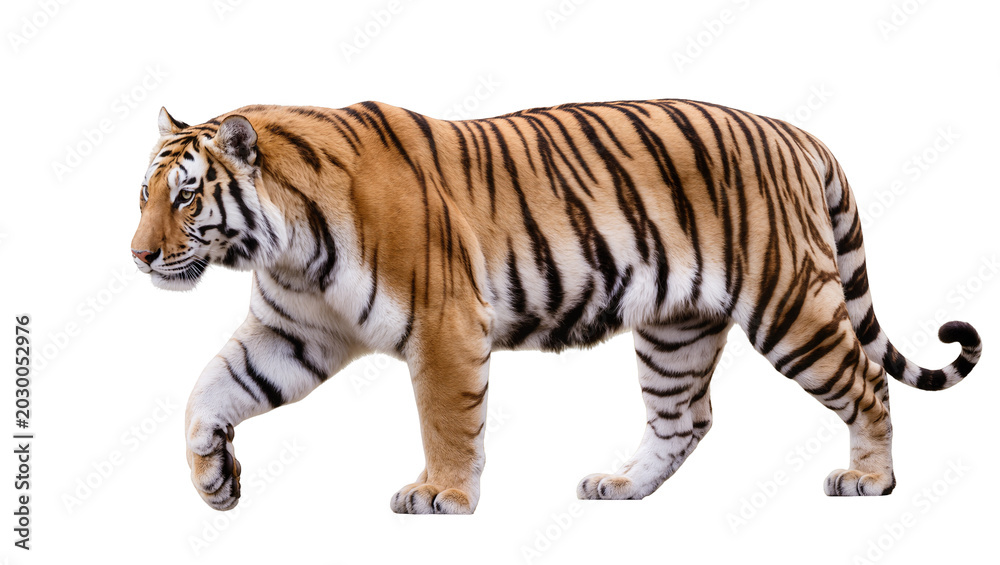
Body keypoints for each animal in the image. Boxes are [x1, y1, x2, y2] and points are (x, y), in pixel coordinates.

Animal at [131, 99, 982, 514]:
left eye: (186, 197)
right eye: (144, 194)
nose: (137, 256)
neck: (284, 243)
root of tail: (796, 132)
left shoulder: (445, 322)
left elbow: (446, 418)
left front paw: (441, 494)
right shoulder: (294, 330)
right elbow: (210, 390)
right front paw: (213, 480)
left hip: (790, 304)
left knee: (866, 381)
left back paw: (870, 481)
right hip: (674, 329)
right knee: (686, 419)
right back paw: (620, 487)